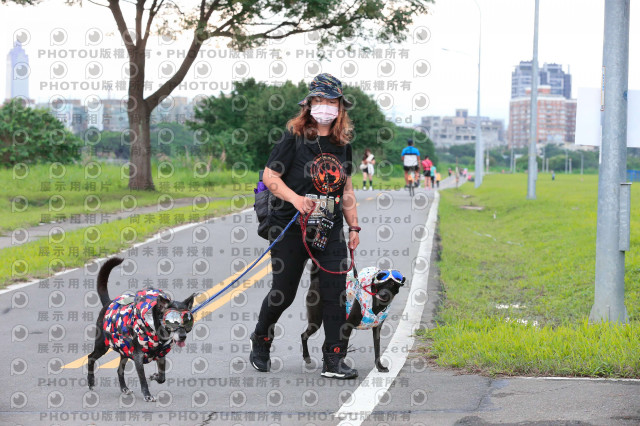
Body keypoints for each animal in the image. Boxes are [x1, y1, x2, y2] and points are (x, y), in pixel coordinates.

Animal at [86, 258, 195, 402]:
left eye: (188, 321)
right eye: (171, 321)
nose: (183, 336)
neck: (155, 331)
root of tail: (108, 303)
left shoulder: (161, 356)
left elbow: (162, 377)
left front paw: (154, 376)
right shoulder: (138, 357)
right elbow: (143, 379)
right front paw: (147, 395)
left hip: (124, 350)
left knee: (119, 370)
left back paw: (124, 388)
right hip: (102, 346)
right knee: (90, 357)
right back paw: (91, 382)